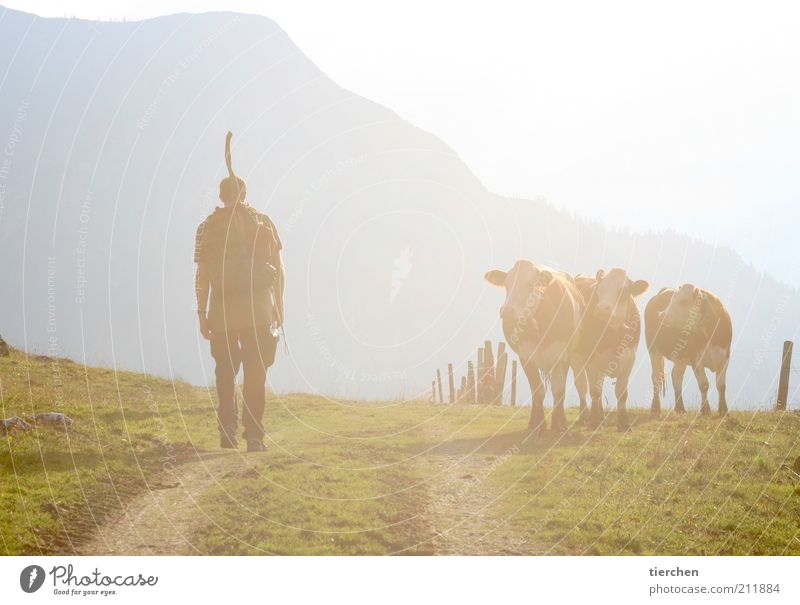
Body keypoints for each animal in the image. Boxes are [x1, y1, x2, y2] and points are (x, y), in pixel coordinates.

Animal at [482, 260, 588, 434]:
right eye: (507, 284)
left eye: (531, 283)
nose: (507, 311)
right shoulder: (526, 356)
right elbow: (537, 390)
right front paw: (539, 425)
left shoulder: (563, 355)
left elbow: (559, 390)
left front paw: (560, 424)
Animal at [572, 268, 648, 430]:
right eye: (599, 290)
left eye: (624, 292)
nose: (602, 309)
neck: (614, 335)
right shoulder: (592, 361)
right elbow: (594, 391)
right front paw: (594, 422)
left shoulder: (629, 360)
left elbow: (621, 393)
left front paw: (624, 423)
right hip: (576, 358)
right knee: (582, 386)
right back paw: (585, 417)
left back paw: (602, 417)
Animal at [644, 284, 732, 416]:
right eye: (672, 299)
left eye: (684, 301)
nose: (661, 315)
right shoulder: (696, 359)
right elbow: (704, 384)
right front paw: (705, 410)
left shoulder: (725, 358)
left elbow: (721, 385)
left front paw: (723, 410)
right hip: (653, 349)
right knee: (656, 377)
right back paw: (655, 408)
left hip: (681, 357)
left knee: (676, 375)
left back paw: (680, 408)